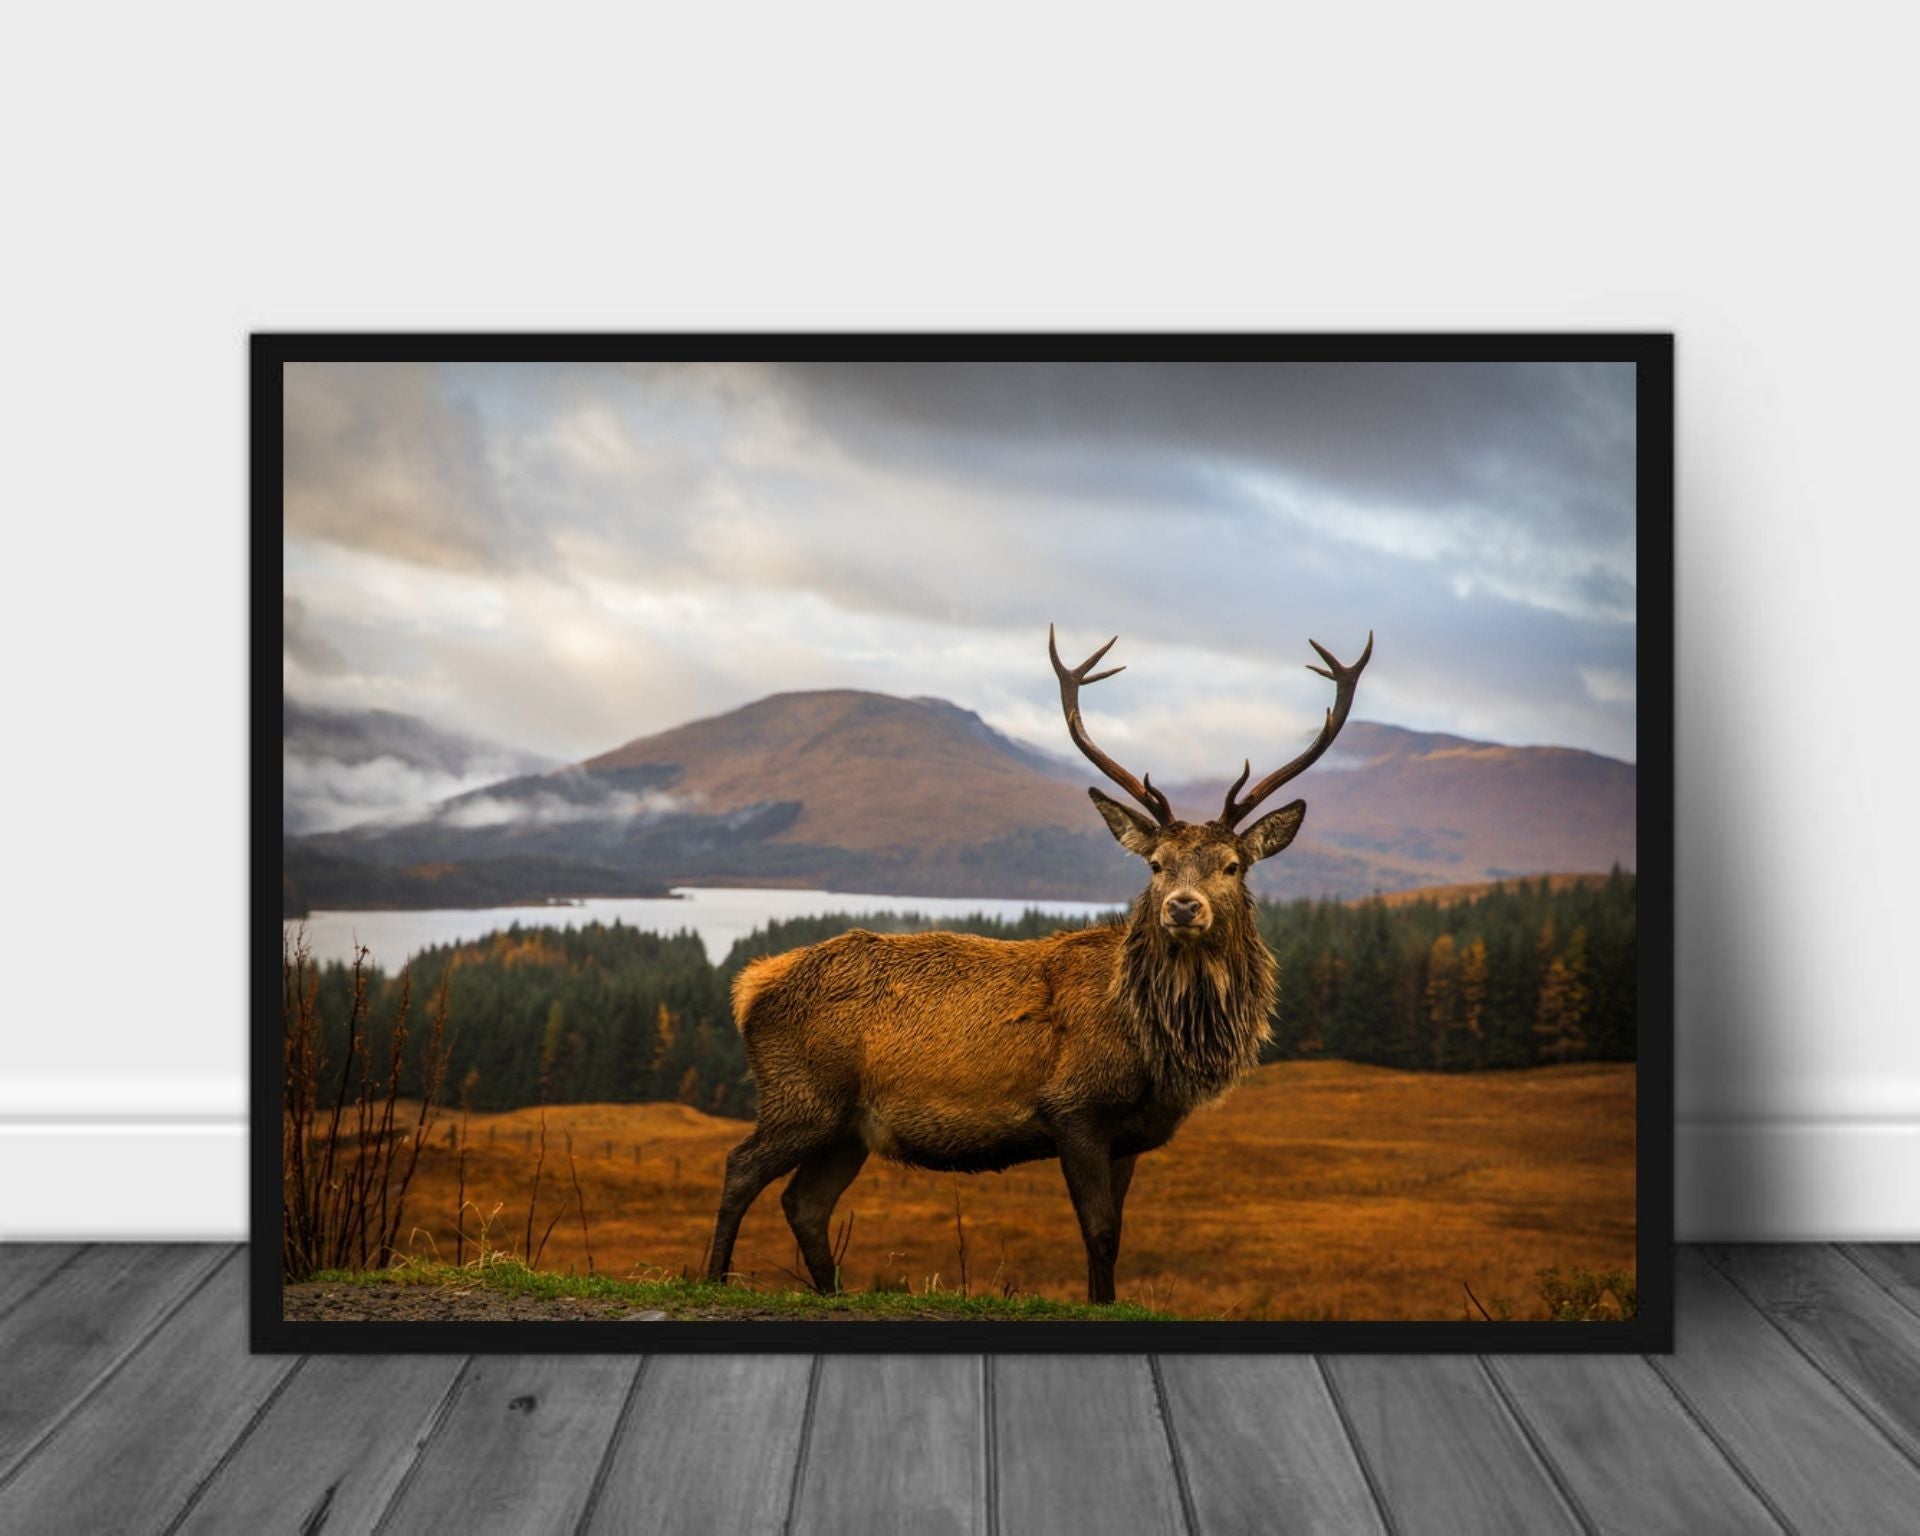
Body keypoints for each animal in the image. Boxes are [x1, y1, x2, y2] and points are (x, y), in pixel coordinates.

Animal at [704, 623, 1372, 1303]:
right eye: (1156, 864)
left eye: (1233, 866)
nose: (1184, 907)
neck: (1157, 1047)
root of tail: (750, 985)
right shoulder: (1072, 1107)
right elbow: (1098, 1231)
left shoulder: (1129, 1136)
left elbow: (1116, 1234)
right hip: (802, 1095)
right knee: (740, 1168)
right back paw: (712, 1277)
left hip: (847, 1128)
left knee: (804, 1203)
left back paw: (830, 1291)